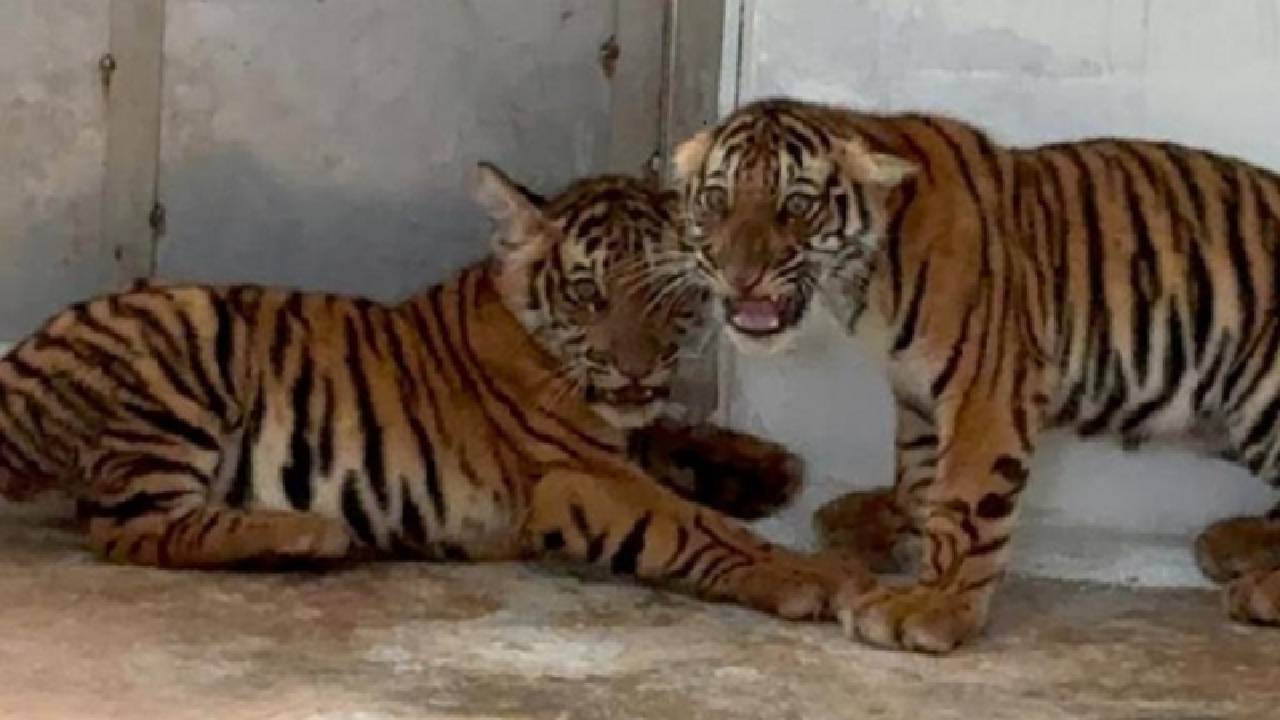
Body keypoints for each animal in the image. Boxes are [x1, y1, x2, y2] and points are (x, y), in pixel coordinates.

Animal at [0, 163, 865, 620]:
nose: (638, 369)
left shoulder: (620, 436)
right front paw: (819, 578)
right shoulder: (576, 478)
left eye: (670, 300)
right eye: (588, 294)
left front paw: (766, 468)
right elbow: (698, 526)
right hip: (181, 345)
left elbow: (671, 439)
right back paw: (304, 535)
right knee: (130, 529)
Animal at [670, 96, 1280, 651]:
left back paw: (1259, 587)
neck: (863, 276)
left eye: (796, 203)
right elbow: (918, 477)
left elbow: (965, 499)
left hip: (1256, 394)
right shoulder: (915, 392)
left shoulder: (986, 389)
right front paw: (896, 531)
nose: (739, 275)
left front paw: (930, 606)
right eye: (717, 199)